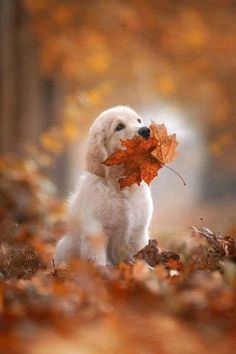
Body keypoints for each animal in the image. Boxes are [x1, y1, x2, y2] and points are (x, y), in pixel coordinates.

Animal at [54, 105, 153, 266]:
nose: (145, 130)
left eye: (139, 120)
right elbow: (96, 258)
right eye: (119, 127)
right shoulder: (95, 229)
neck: (121, 185)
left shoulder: (139, 230)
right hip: (65, 247)